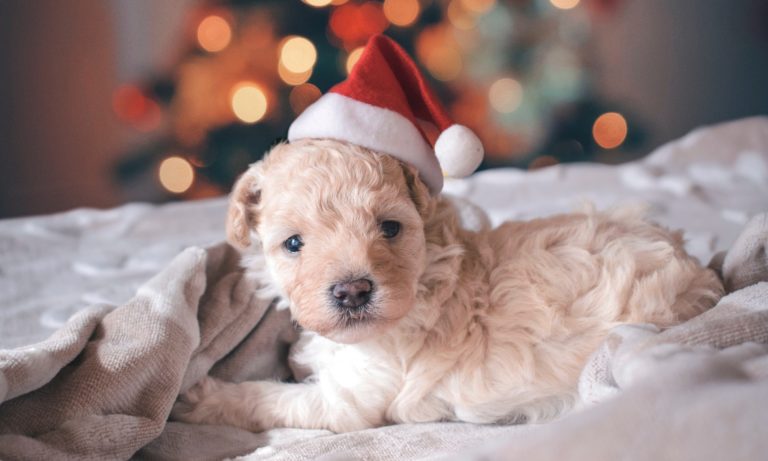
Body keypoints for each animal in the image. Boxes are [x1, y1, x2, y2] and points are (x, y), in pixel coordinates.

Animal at [172, 139, 720, 432]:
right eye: (292, 244)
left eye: (390, 228)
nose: (353, 292)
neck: (424, 277)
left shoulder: (348, 402)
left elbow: (271, 398)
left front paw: (202, 397)